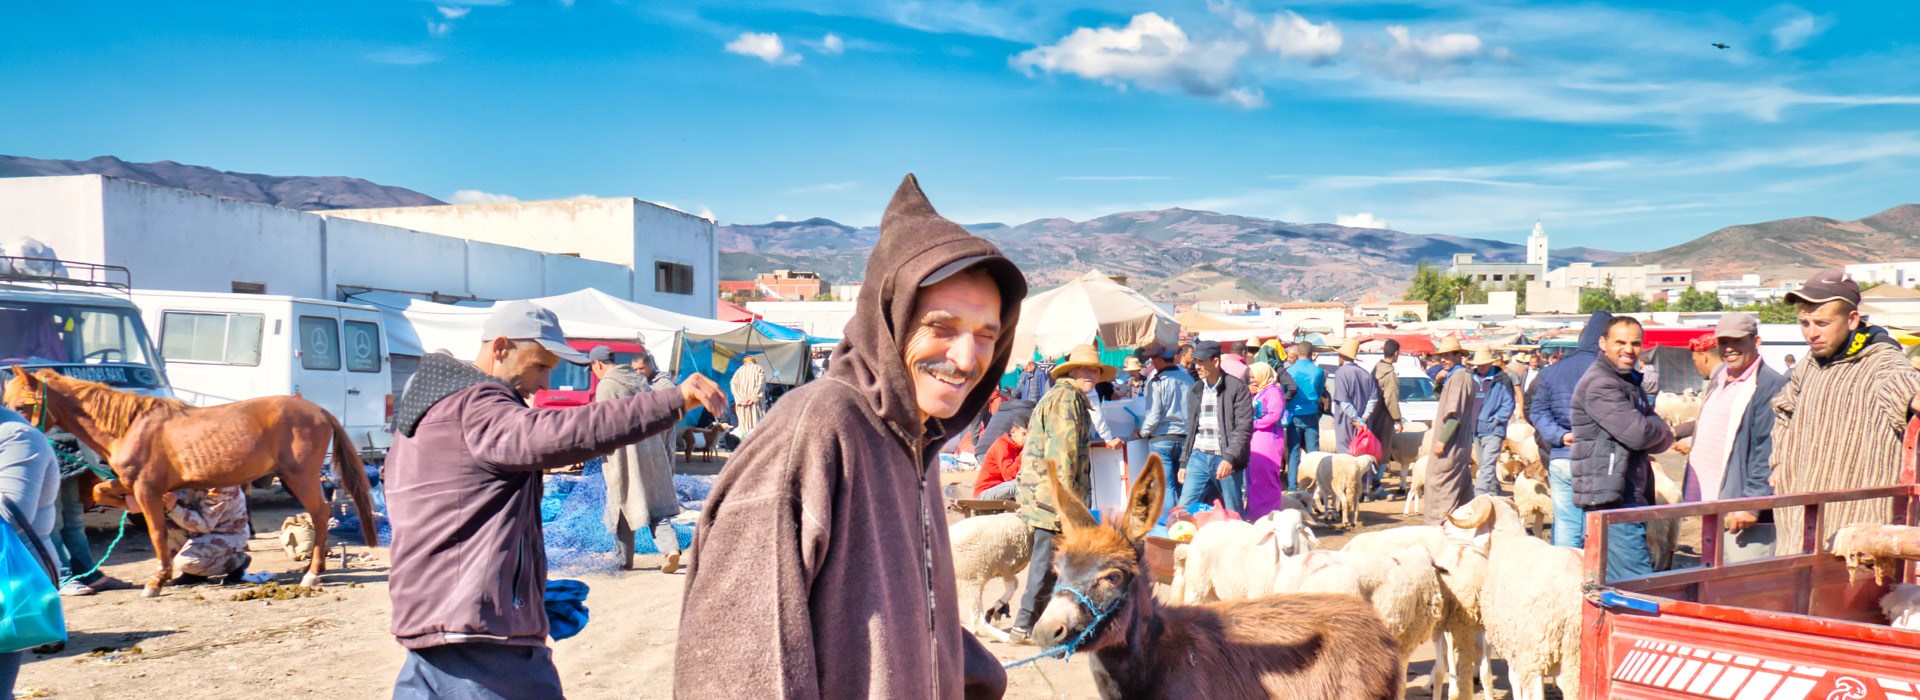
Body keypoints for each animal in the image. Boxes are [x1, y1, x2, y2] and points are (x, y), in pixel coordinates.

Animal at [5, 366, 376, 594]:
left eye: (23, 405)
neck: (130, 426)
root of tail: (319, 411)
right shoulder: (135, 485)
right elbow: (101, 491)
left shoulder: (147, 488)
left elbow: (155, 532)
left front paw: (157, 580)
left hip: (300, 477)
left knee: (321, 514)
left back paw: (313, 573)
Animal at [948, 510, 1036, 640]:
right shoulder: (1006, 566)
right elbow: (1011, 588)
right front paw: (997, 607)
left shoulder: (1006, 569)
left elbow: (1015, 586)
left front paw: (998, 608)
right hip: (970, 581)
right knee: (978, 622)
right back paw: (1006, 638)